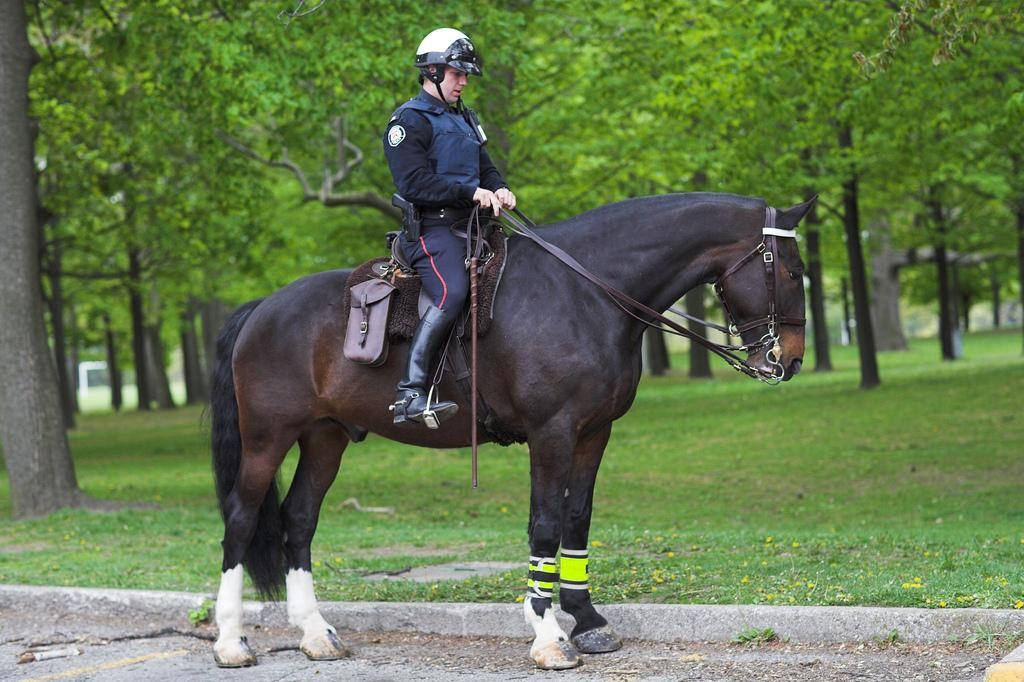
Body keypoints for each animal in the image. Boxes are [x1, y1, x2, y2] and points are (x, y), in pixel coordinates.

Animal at [207, 189, 815, 663]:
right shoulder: (551, 431)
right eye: (791, 271)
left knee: (299, 519)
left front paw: (586, 618)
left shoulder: (594, 432)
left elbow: (576, 518)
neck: (586, 292)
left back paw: (316, 634)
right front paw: (547, 633)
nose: (789, 359)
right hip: (267, 438)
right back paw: (232, 641)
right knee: (241, 519)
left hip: (325, 437)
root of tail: (263, 307)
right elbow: (544, 524)